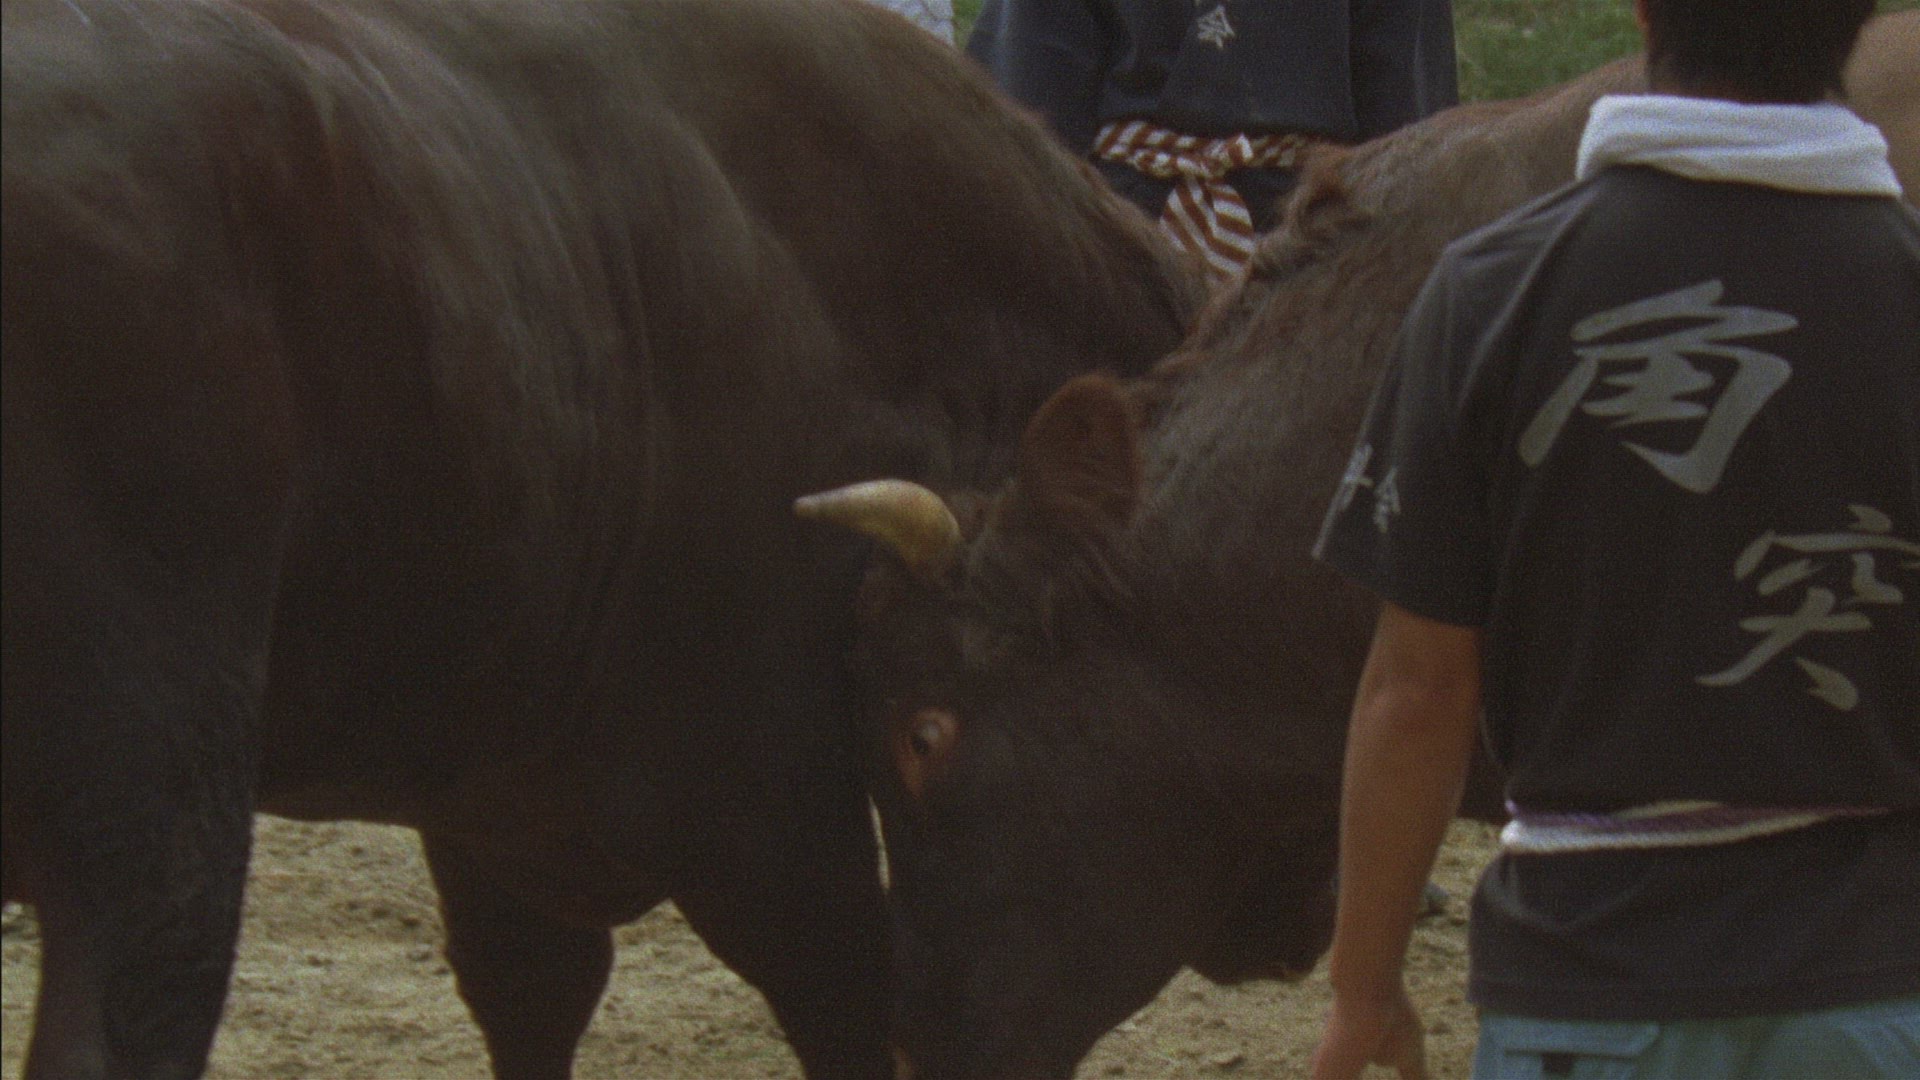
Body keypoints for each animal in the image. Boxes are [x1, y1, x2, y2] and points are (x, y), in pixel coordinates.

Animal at [0, 0, 1206, 1076]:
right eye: (922, 733)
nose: (949, 1032)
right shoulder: (763, 804)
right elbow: (839, 1001)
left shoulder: (497, 803)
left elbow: (535, 996)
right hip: (159, 787)